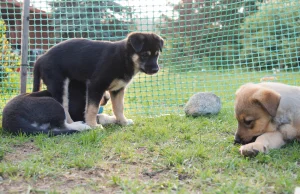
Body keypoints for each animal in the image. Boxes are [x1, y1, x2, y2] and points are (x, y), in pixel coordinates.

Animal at [33, 32, 164, 127]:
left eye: (157, 54)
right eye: (145, 55)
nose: (156, 69)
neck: (124, 58)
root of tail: (40, 58)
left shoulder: (118, 89)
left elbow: (118, 108)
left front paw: (123, 122)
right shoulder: (95, 86)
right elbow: (92, 109)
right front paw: (93, 126)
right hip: (59, 85)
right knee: (64, 107)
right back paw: (73, 124)